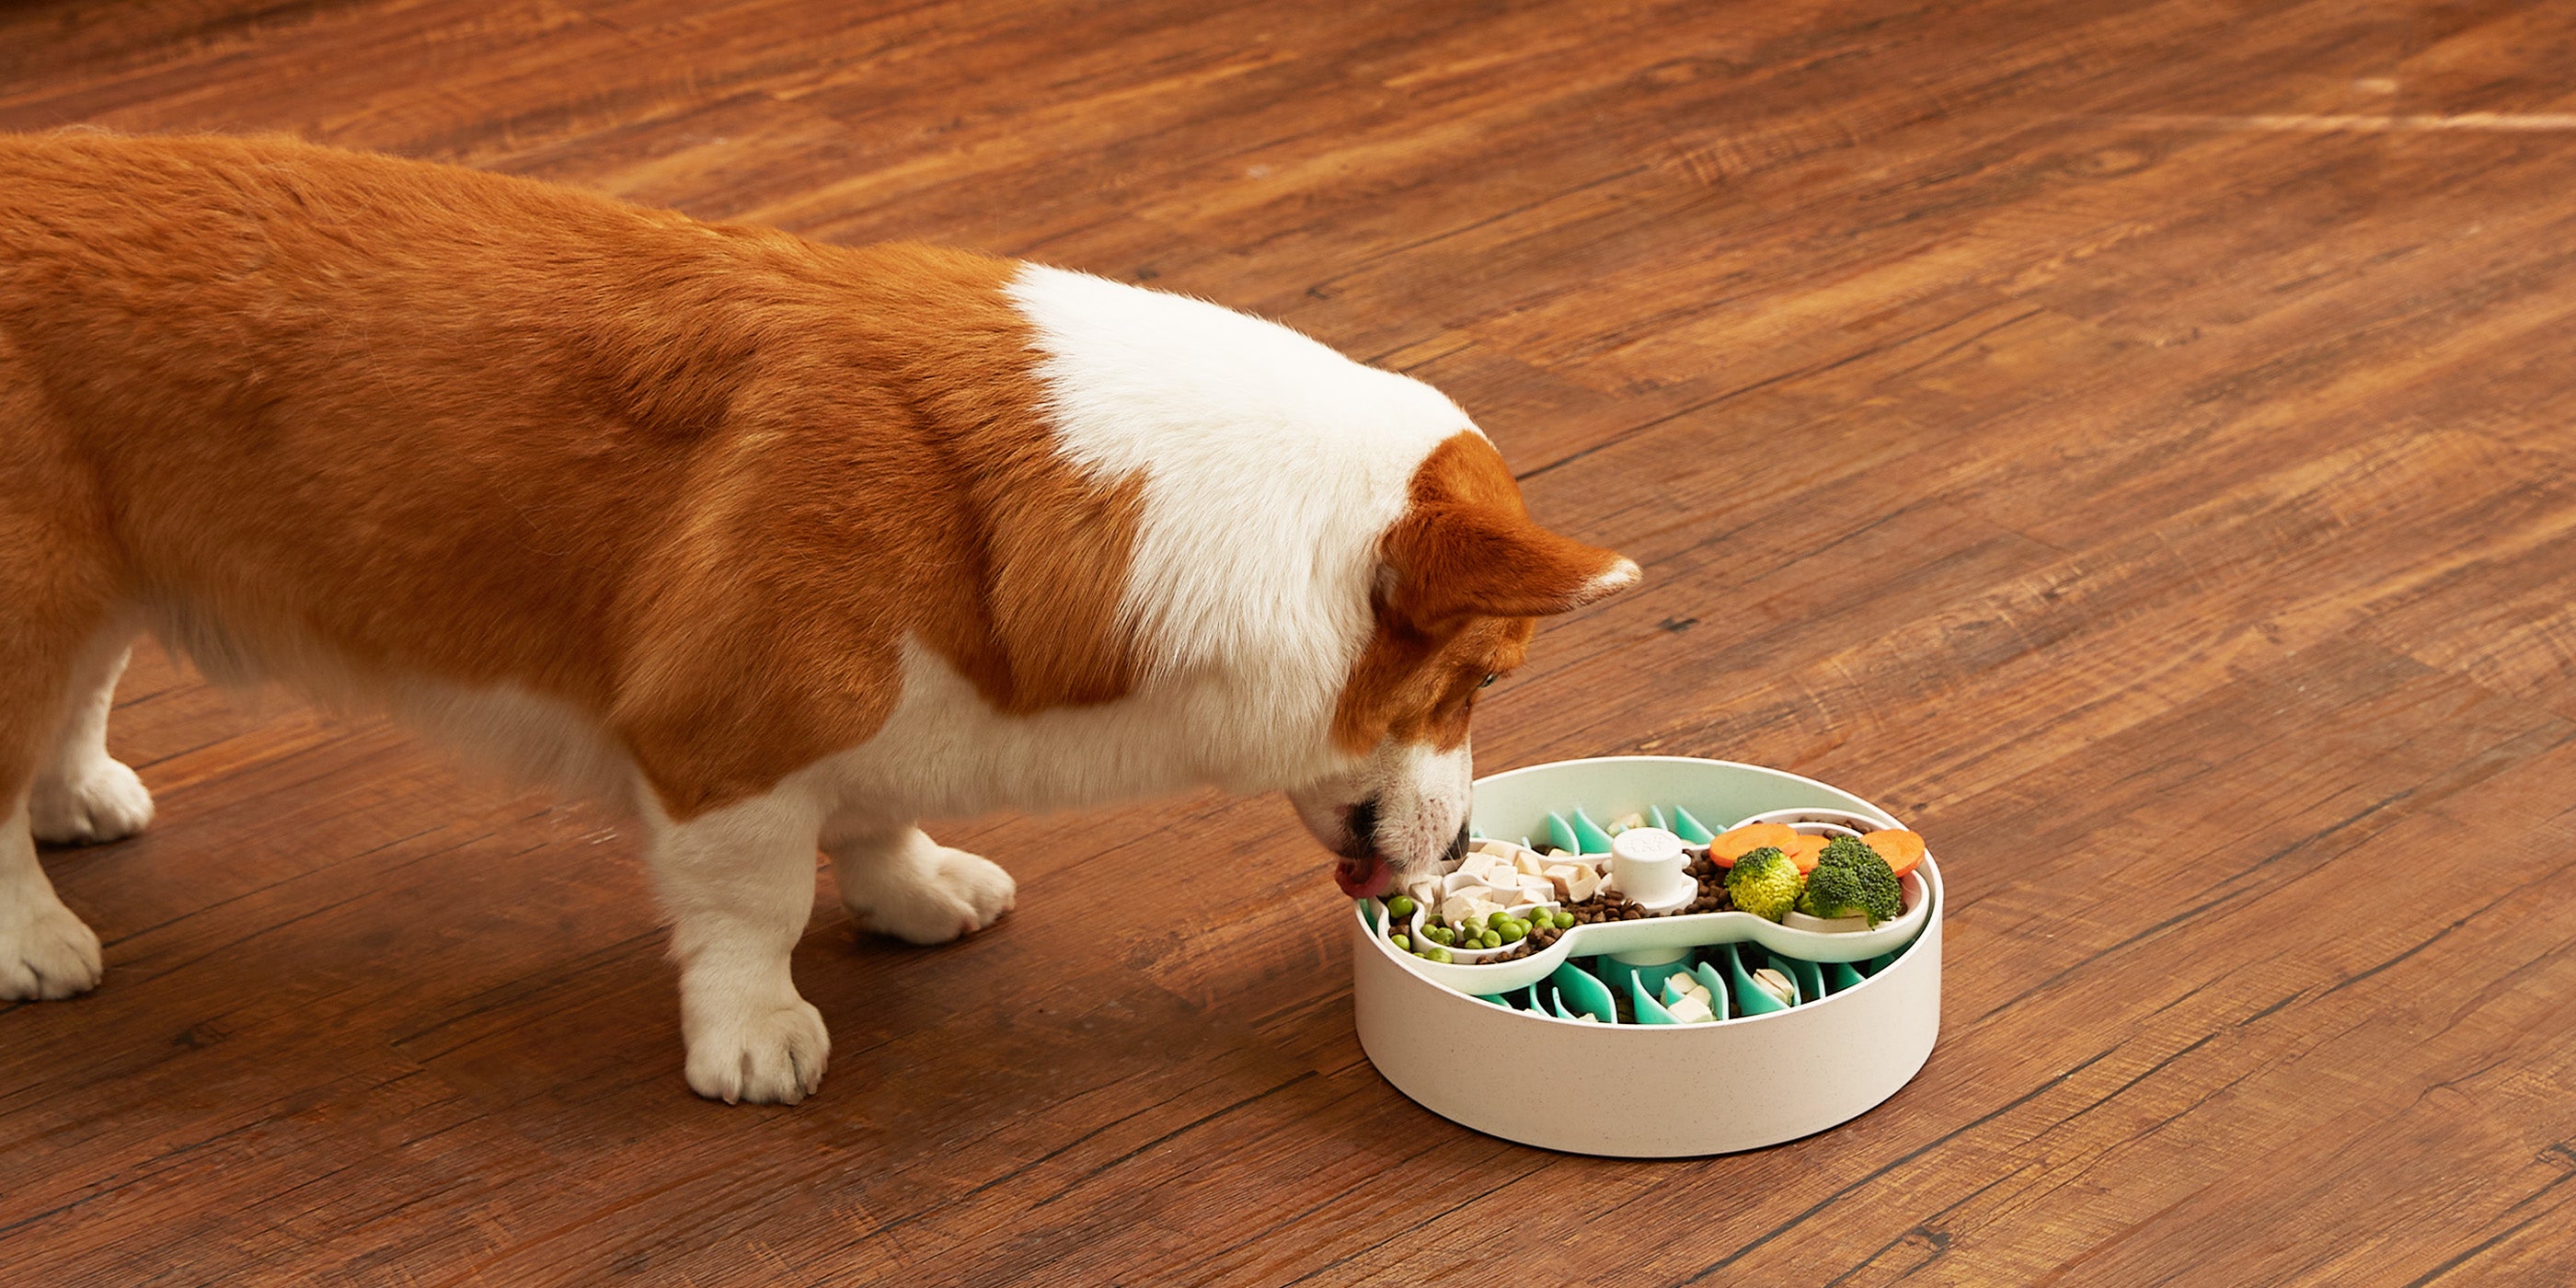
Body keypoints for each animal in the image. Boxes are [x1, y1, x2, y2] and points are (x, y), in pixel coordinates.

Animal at [0, 131, 1638, 1102]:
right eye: (1483, 681)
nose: (1466, 850)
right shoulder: (719, 752)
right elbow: (753, 909)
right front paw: (754, 1043)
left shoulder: (864, 727)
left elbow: (878, 814)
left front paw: (917, 893)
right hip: (29, 600)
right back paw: (37, 942)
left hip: (101, 585)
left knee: (78, 702)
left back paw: (85, 802)